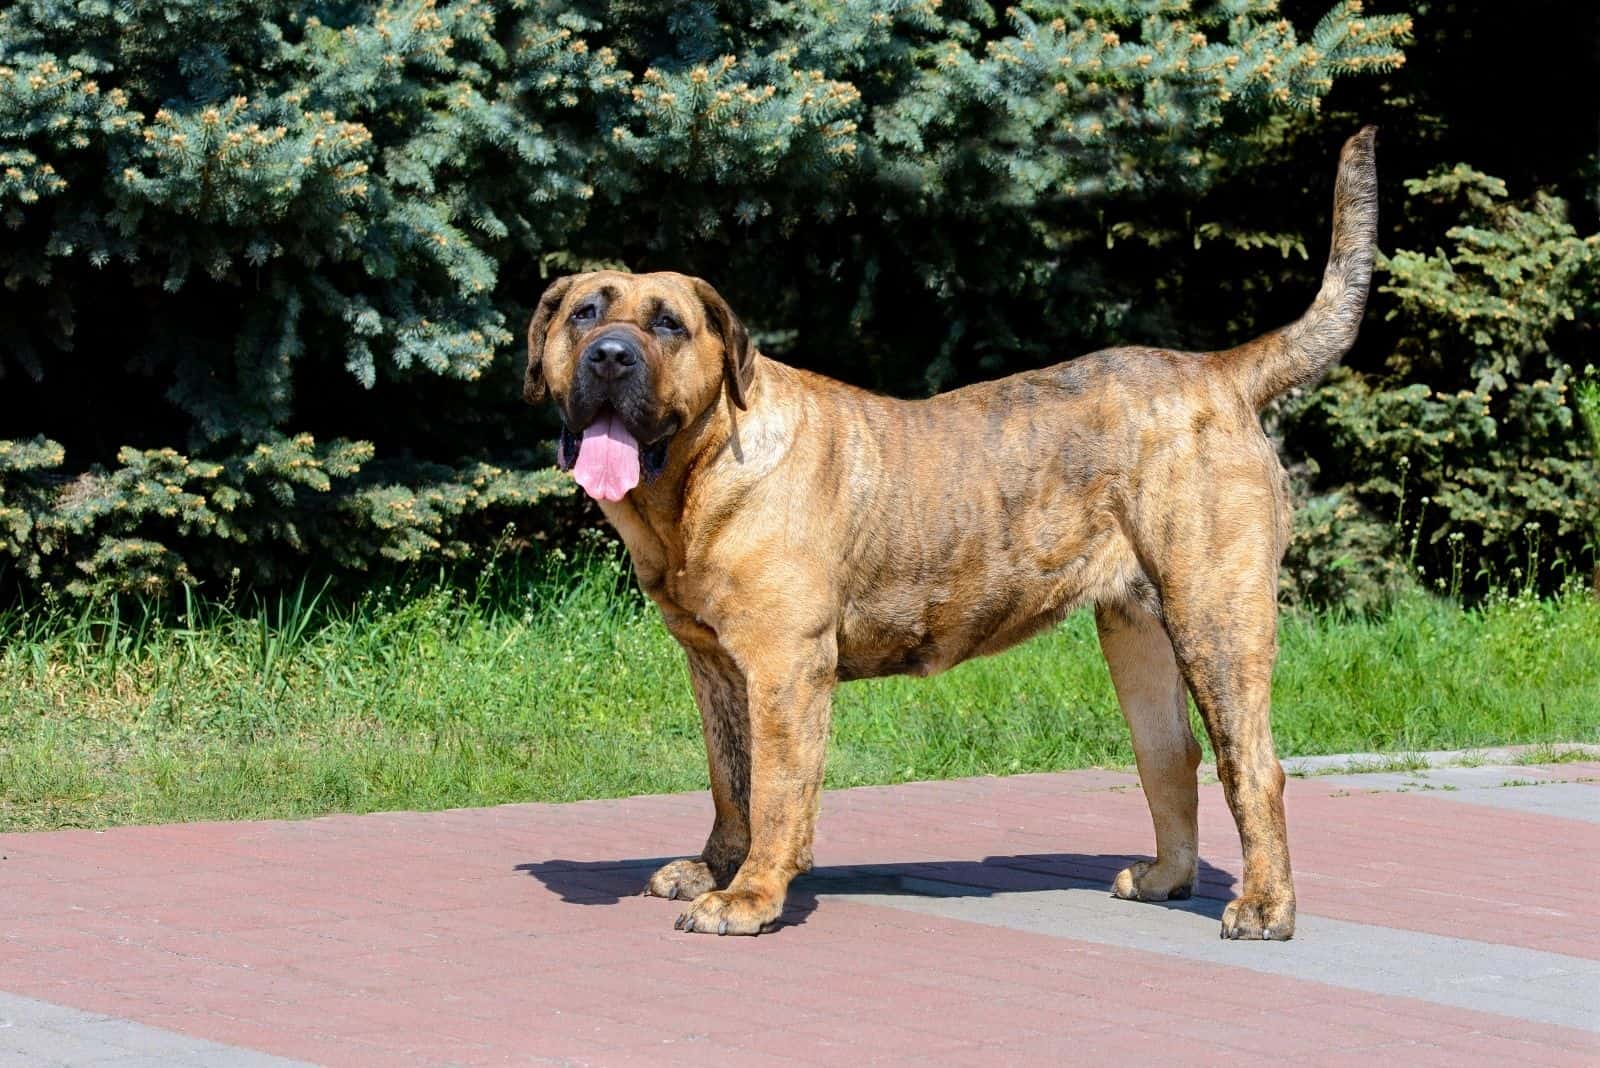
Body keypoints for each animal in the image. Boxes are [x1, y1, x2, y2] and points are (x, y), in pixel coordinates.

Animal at [524, 129, 1376, 940]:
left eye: (668, 324)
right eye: (584, 313)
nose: (610, 356)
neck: (693, 481)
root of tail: (1218, 371)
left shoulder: (784, 668)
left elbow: (774, 791)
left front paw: (748, 896)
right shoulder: (714, 664)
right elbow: (729, 781)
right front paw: (713, 868)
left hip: (1215, 616)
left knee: (1250, 765)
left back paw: (1264, 907)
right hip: (1137, 631)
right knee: (1170, 755)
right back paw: (1165, 877)